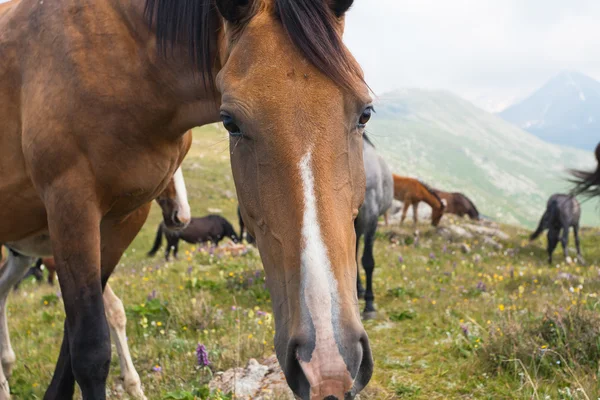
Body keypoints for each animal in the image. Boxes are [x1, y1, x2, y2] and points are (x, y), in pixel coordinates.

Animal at [0, 1, 372, 398]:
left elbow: (74, 341)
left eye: (365, 112)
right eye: (229, 122)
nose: (327, 364)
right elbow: (88, 349)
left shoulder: (122, 220)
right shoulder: (71, 207)